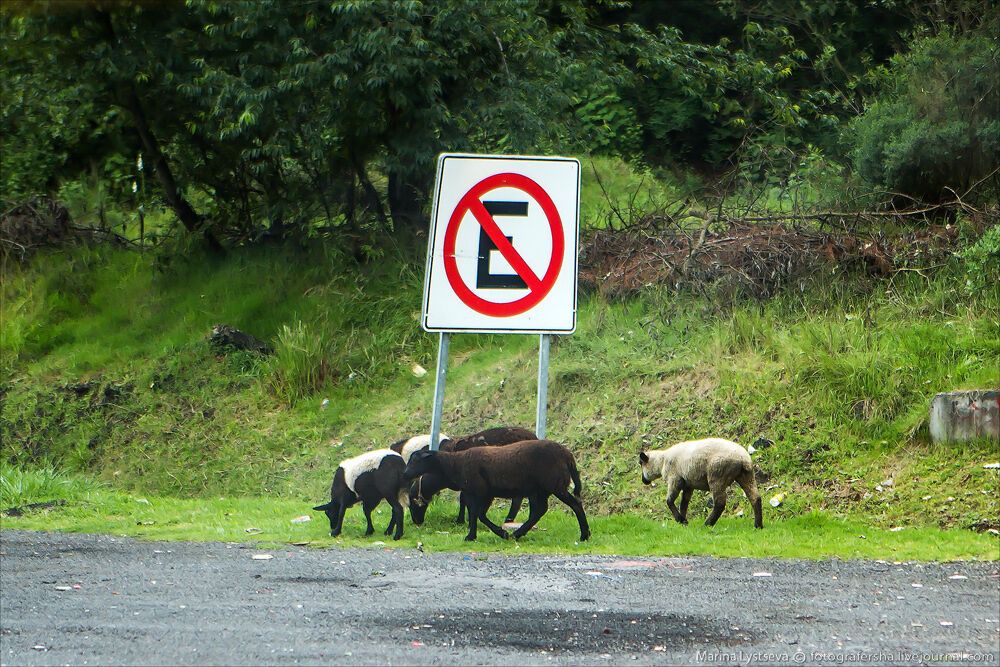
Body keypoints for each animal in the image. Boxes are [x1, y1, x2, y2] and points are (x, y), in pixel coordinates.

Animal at [402, 438, 584, 544]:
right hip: (541, 490)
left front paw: (495, 533)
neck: (454, 465)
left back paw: (584, 535)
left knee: (575, 504)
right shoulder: (481, 493)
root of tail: (567, 455)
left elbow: (478, 514)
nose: (405, 474)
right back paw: (517, 534)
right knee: (539, 511)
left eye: (415, 460)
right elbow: (476, 514)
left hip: (555, 485)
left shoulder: (481, 491)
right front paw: (474, 535)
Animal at [404, 428, 536, 528]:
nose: (416, 522)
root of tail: (533, 436)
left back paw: (509, 519)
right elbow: (464, 500)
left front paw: (463, 520)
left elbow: (465, 500)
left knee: (517, 500)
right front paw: (463, 520)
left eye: (413, 502)